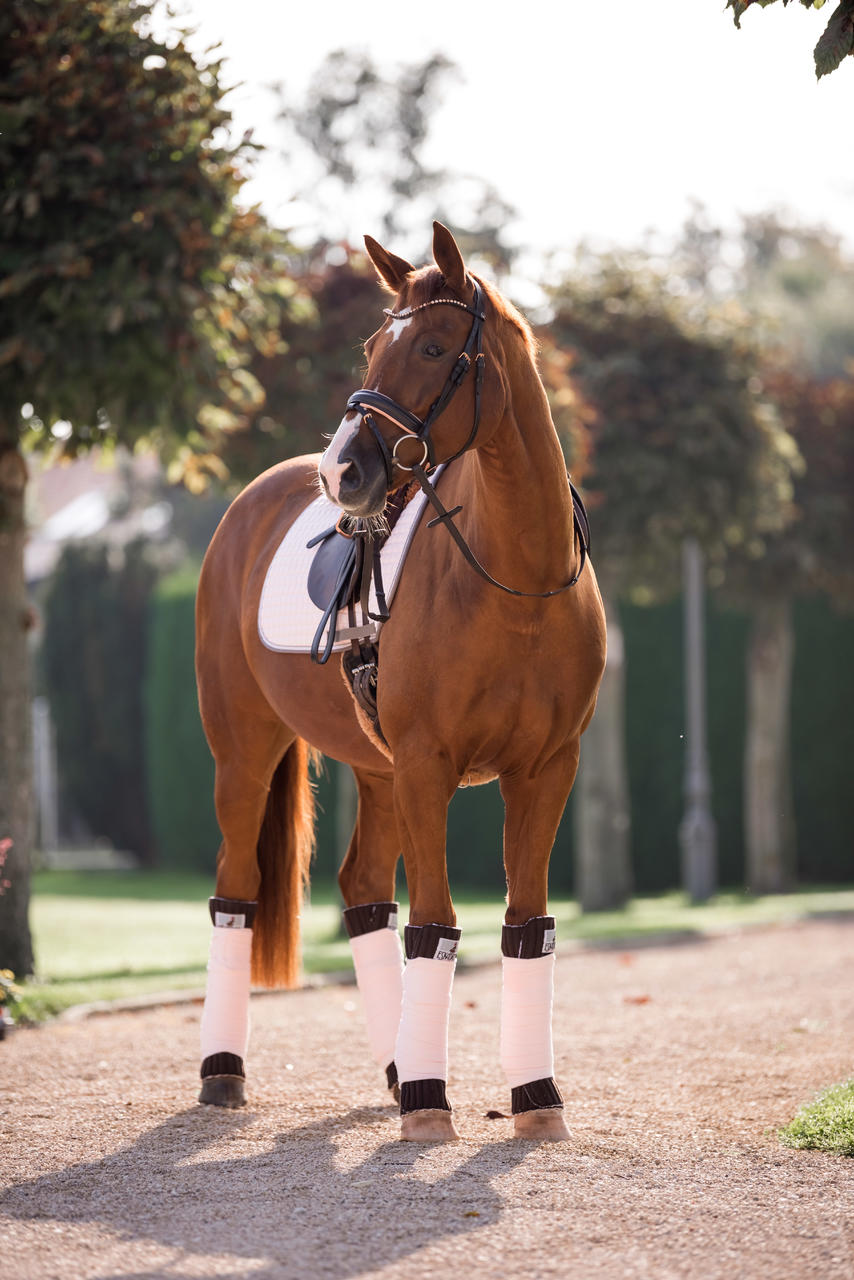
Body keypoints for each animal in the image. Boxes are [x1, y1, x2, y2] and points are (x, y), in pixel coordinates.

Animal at [195, 220, 604, 1141]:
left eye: (433, 345)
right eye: (371, 347)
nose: (342, 473)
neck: (516, 580)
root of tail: (251, 502)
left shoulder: (545, 771)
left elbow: (527, 927)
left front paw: (535, 1098)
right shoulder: (429, 767)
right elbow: (436, 926)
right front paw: (430, 1102)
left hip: (376, 772)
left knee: (361, 894)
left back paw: (392, 1067)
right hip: (245, 757)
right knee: (236, 891)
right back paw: (225, 1070)